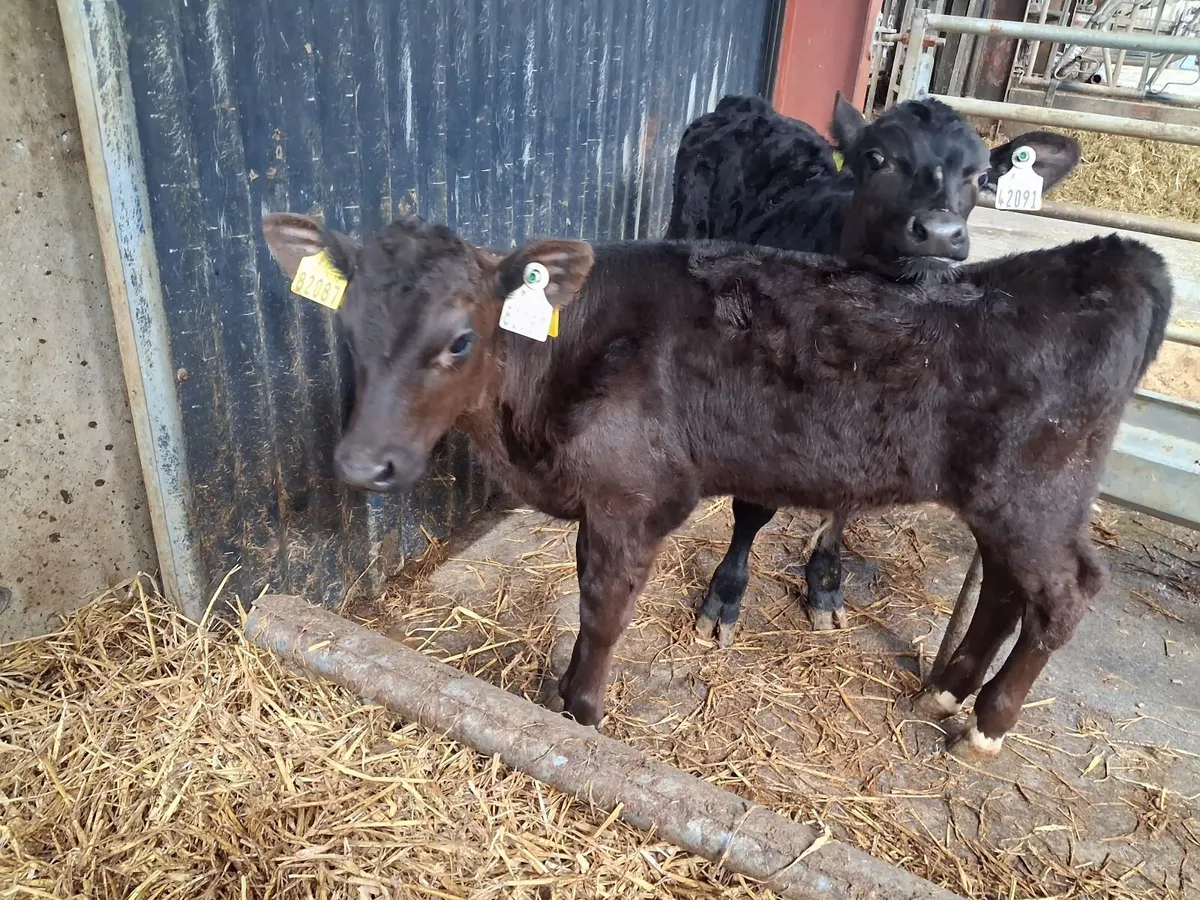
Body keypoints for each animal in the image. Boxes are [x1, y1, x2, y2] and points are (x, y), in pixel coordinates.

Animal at [261, 211, 1168, 761]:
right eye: (348, 327)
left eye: (458, 339)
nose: (362, 464)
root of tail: (1107, 254)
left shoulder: (634, 498)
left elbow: (603, 612)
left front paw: (580, 712)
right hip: (999, 498)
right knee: (1010, 587)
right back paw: (948, 688)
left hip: (1036, 493)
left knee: (1064, 592)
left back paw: (986, 724)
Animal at [668, 93, 1083, 643]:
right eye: (877, 158)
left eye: (979, 175)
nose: (940, 233)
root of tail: (747, 105)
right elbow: (754, 507)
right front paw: (725, 599)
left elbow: (847, 502)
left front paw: (825, 585)